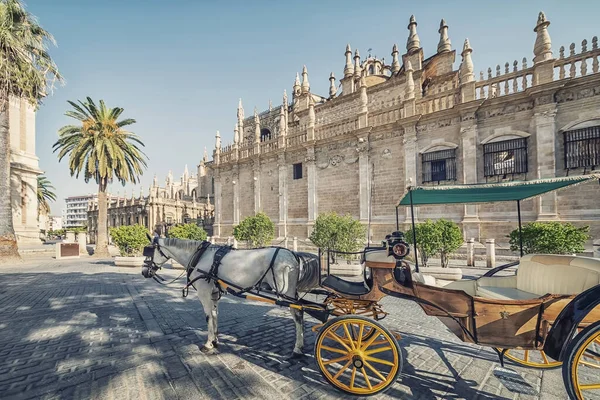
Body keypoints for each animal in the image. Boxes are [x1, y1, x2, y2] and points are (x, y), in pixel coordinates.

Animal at [141, 239, 322, 358]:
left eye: (148, 252)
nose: (144, 272)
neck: (199, 256)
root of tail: (293, 255)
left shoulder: (204, 293)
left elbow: (208, 317)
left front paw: (208, 344)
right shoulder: (214, 294)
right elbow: (215, 316)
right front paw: (215, 340)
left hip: (286, 293)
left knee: (298, 315)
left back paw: (297, 348)